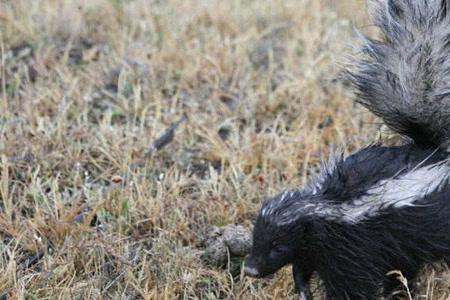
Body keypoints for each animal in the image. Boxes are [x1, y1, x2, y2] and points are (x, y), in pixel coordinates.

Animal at [246, 0, 450, 298]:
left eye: (278, 247)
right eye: (255, 239)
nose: (250, 269)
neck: (324, 208)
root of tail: (431, 151)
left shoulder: (351, 248)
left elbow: (351, 286)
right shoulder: (314, 248)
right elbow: (302, 267)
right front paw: (303, 290)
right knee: (404, 267)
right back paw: (399, 291)